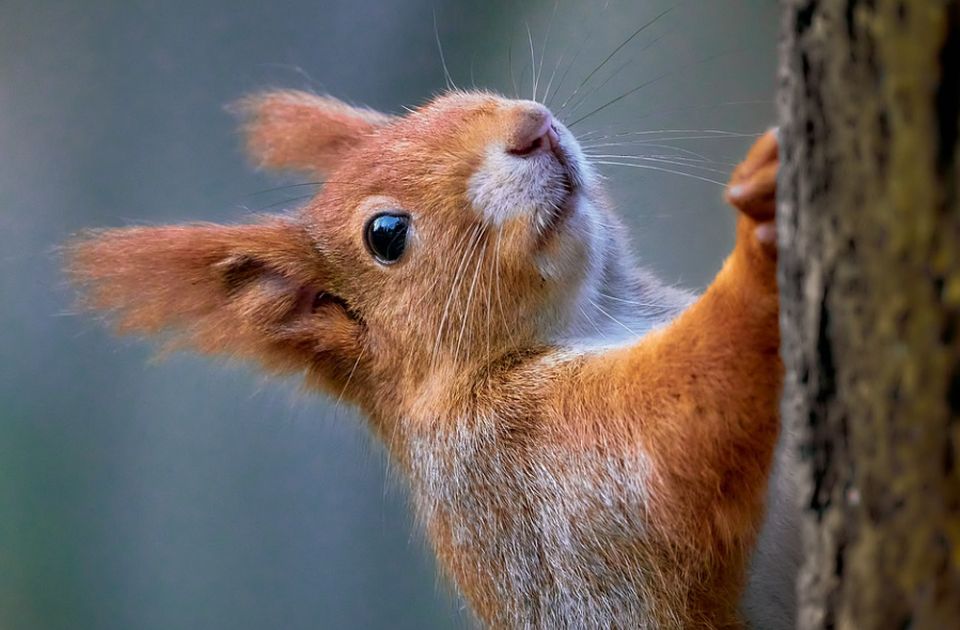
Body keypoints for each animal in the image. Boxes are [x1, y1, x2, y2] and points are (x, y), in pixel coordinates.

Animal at [69, 90, 788, 630]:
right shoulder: (536, 477)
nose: (532, 128)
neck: (600, 315)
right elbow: (671, 439)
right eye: (386, 235)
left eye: (450, 100)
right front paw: (758, 236)